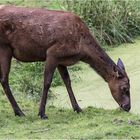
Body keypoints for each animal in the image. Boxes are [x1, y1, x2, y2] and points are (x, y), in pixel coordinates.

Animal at [0, 5, 131, 119]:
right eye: (125, 88)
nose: (128, 107)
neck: (82, 48)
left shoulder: (61, 60)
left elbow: (67, 81)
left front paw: (78, 108)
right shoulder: (52, 53)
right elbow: (47, 82)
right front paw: (42, 113)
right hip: (5, 47)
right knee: (4, 79)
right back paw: (19, 112)